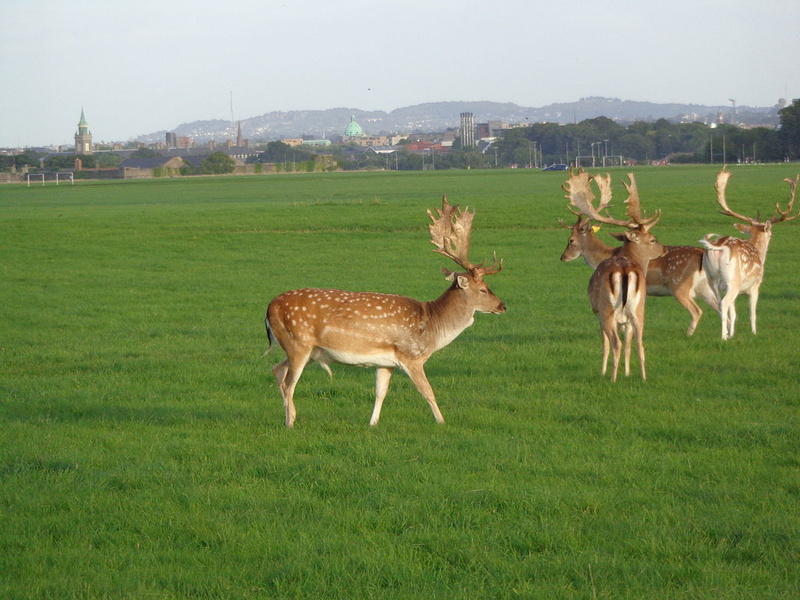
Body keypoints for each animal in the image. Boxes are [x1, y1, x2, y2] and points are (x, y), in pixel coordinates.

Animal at [268, 197, 506, 426]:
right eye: (483, 289)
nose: (502, 306)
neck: (432, 325)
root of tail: (270, 307)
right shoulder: (411, 356)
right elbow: (427, 391)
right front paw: (442, 422)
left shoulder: (385, 363)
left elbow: (380, 392)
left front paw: (373, 423)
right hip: (298, 343)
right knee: (289, 383)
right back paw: (290, 422)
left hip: (308, 351)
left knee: (277, 369)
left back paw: (290, 416)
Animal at [560, 211, 720, 336]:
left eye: (571, 240)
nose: (563, 257)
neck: (607, 255)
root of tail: (702, 253)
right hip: (704, 286)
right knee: (719, 305)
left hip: (680, 286)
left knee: (697, 310)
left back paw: (689, 335)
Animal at [564, 171, 668, 382]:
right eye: (653, 239)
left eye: (571, 240)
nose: (664, 249)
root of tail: (625, 270)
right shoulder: (626, 318)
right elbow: (629, 343)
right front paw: (627, 373)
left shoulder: (596, 311)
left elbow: (605, 344)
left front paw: (604, 371)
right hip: (638, 309)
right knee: (638, 343)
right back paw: (642, 378)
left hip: (607, 309)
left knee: (615, 343)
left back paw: (612, 378)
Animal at [696, 169, 796, 340]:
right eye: (771, 234)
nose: (771, 236)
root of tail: (718, 247)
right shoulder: (755, 286)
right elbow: (752, 313)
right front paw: (754, 333)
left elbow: (734, 312)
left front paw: (732, 334)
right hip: (733, 280)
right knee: (724, 303)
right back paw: (722, 337)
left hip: (712, 279)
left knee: (719, 303)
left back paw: (725, 334)